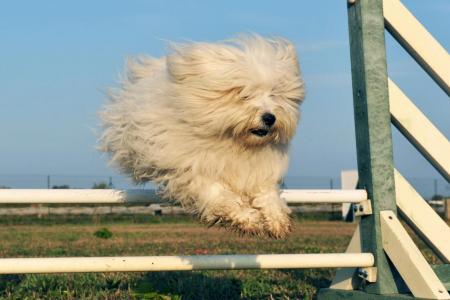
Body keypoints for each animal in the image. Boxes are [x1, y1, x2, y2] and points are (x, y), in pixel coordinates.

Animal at [99, 34, 306, 238]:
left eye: (274, 94)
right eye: (244, 95)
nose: (270, 118)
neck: (233, 142)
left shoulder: (258, 170)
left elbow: (267, 194)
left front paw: (277, 220)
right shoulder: (193, 169)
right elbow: (220, 195)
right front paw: (249, 219)